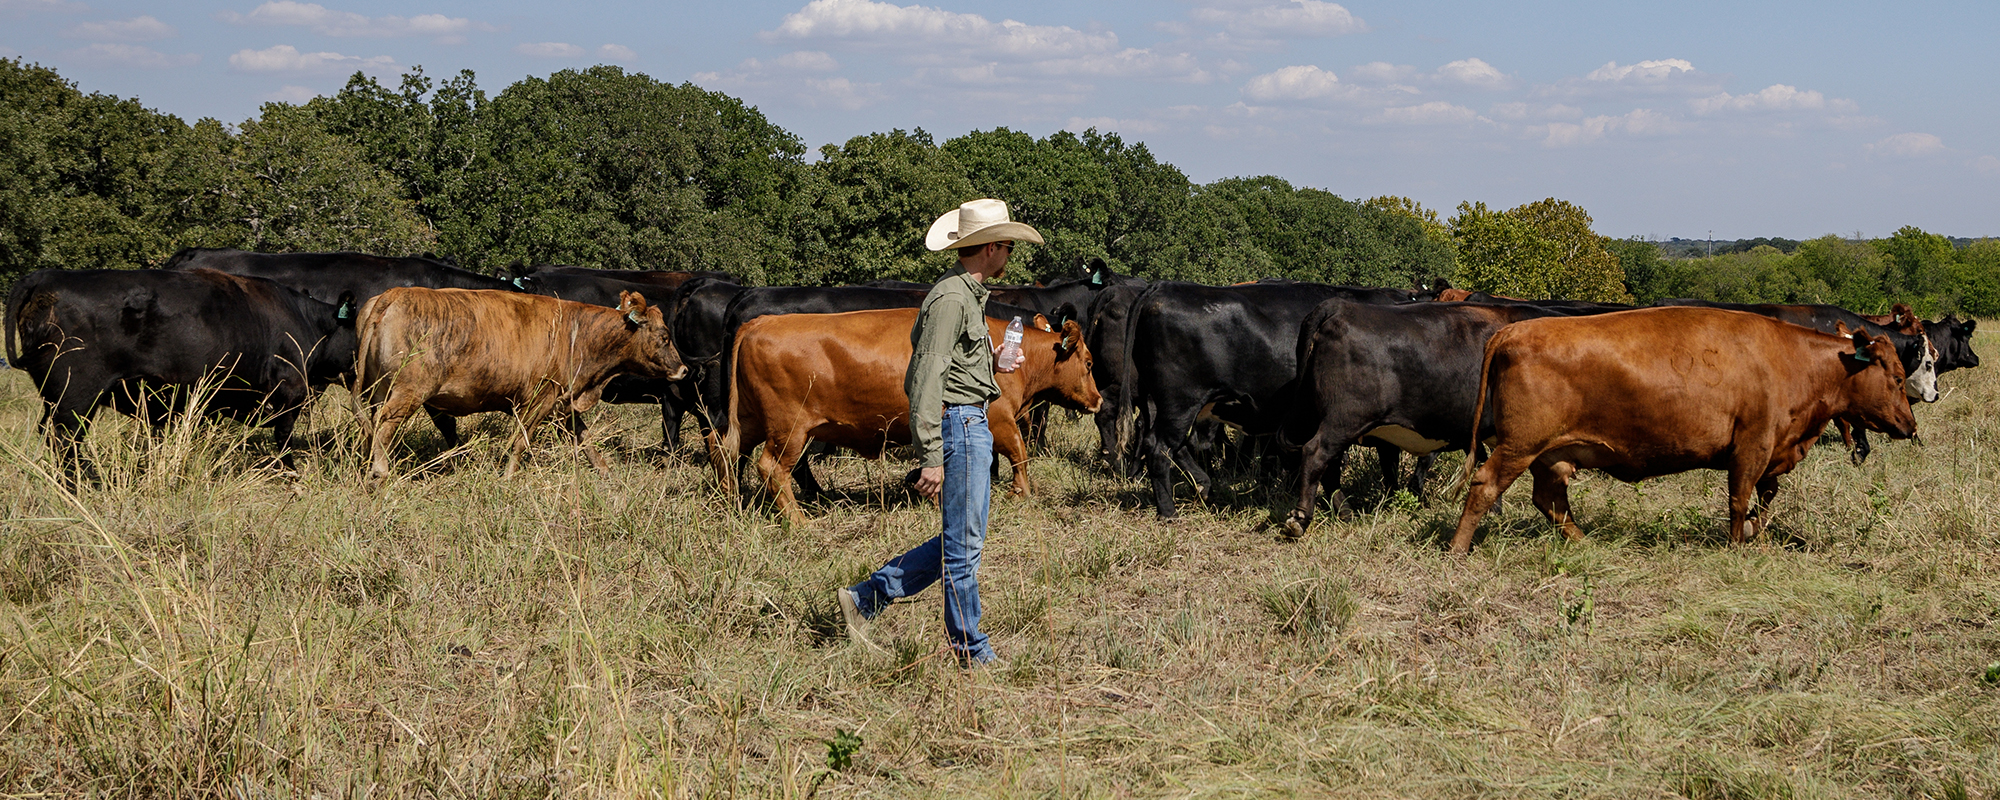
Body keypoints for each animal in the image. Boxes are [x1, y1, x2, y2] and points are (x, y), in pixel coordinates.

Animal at [6, 268, 360, 482]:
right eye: (359, 330)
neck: (307, 322)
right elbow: (284, 439)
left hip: (59, 398)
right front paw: (291, 474)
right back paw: (84, 482)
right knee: (66, 440)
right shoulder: (289, 391)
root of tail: (47, 275)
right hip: (75, 396)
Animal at [712, 308, 1104, 524]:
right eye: (1088, 363)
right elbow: (1019, 454)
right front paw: (1020, 492)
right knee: (771, 468)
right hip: (789, 430)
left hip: (750, 421)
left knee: (726, 453)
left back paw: (729, 502)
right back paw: (797, 521)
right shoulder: (999, 419)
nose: (1098, 400)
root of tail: (759, 322)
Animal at [1128, 282, 1424, 520]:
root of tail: (1163, 287)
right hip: (1180, 403)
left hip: (1170, 405)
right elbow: (1381, 465)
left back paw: (1204, 486)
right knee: (1161, 448)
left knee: (1172, 444)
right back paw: (1169, 512)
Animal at [1456, 308, 1920, 556]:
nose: (1910, 425)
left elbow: (1765, 499)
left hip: (1548, 456)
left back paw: (1584, 540)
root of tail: (1511, 330)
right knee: (1484, 486)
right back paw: (1458, 548)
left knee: (1550, 501)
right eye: (1898, 378)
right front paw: (1737, 544)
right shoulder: (1752, 447)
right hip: (1519, 447)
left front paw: (1756, 534)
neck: (1793, 360)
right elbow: (1740, 499)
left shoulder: (1772, 453)